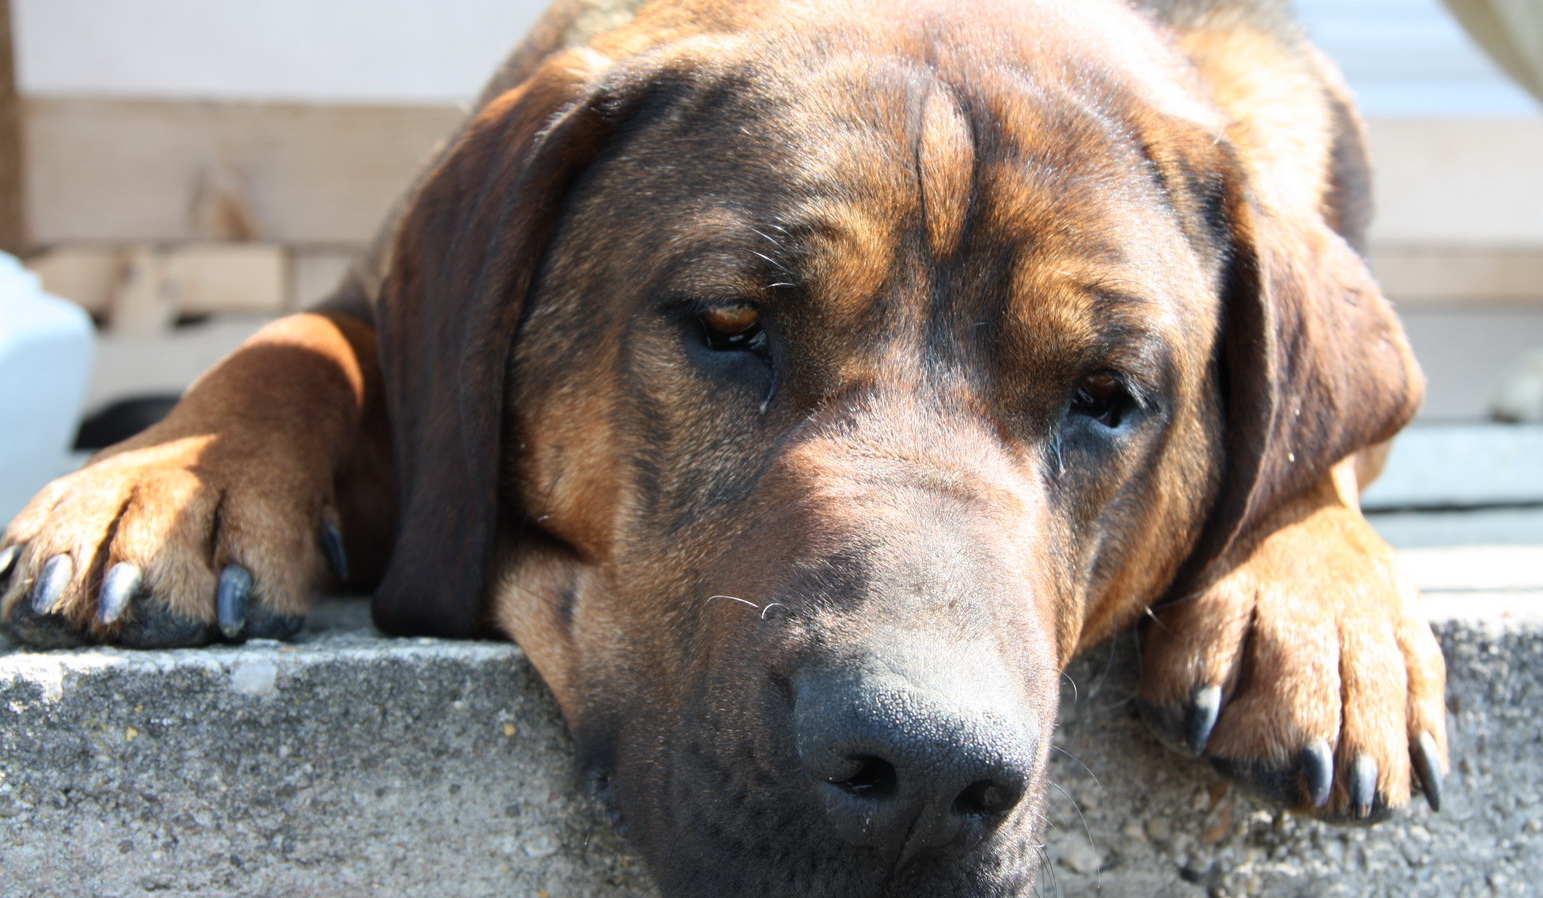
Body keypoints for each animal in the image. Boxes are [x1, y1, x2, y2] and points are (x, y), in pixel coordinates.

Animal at [0, 1, 1444, 894]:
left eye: (1108, 396)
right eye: (730, 326)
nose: (923, 770)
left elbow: (1315, 461)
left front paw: (1317, 610)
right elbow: (295, 341)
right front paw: (161, 486)